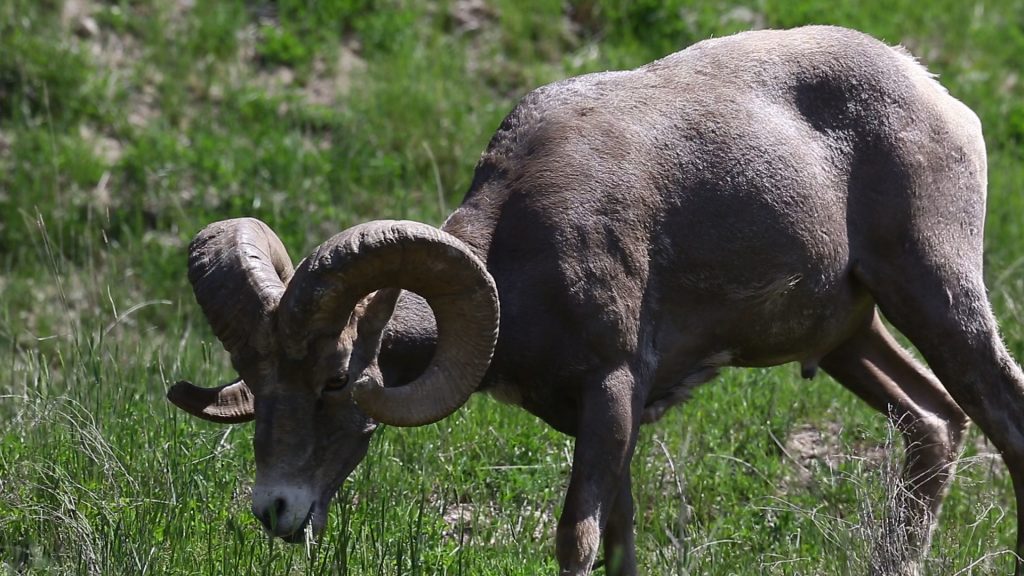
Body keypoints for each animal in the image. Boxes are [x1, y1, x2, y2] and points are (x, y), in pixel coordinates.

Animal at [167, 25, 1024, 573]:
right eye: (260, 382)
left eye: (336, 382)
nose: (275, 511)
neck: (519, 261)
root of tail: (935, 93)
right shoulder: (616, 425)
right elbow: (619, 539)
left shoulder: (610, 391)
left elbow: (576, 541)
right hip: (852, 336)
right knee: (933, 423)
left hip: (935, 294)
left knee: (1000, 413)